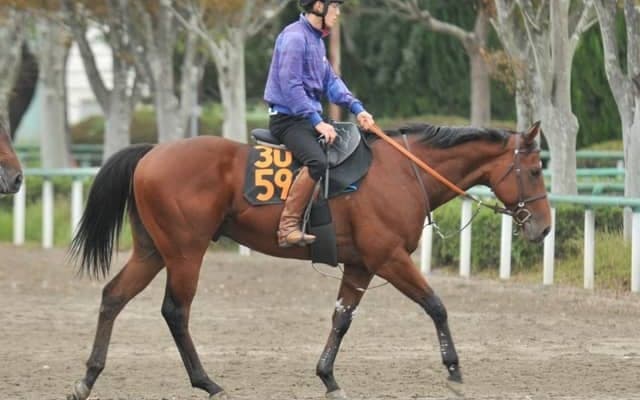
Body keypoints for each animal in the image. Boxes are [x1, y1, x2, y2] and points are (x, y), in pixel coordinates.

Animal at [67, 121, 551, 400]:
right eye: (534, 170)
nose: (544, 228)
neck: (403, 172)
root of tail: (151, 152)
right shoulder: (390, 258)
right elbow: (436, 305)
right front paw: (453, 368)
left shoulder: (361, 265)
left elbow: (341, 318)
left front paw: (327, 377)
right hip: (185, 252)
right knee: (175, 312)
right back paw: (207, 382)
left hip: (153, 251)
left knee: (113, 297)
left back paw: (88, 378)